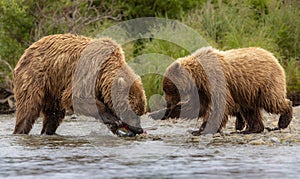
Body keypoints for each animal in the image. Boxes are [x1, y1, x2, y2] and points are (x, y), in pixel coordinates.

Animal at [12, 33, 146, 136]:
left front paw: (118, 128)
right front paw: (114, 120)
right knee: (28, 108)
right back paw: (20, 131)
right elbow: (76, 97)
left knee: (54, 114)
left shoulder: (100, 88)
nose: (139, 129)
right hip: (36, 76)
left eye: (140, 112)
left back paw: (48, 132)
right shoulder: (88, 73)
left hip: (53, 88)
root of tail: (27, 50)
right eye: (131, 110)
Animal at [151, 46, 292, 135]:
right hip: (248, 91)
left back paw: (283, 121)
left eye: (168, 89)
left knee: (272, 102)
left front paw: (202, 130)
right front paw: (157, 113)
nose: (167, 102)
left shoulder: (214, 80)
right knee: (250, 110)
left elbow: (219, 105)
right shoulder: (202, 90)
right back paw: (251, 129)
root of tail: (273, 56)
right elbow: (196, 107)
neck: (197, 78)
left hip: (265, 82)